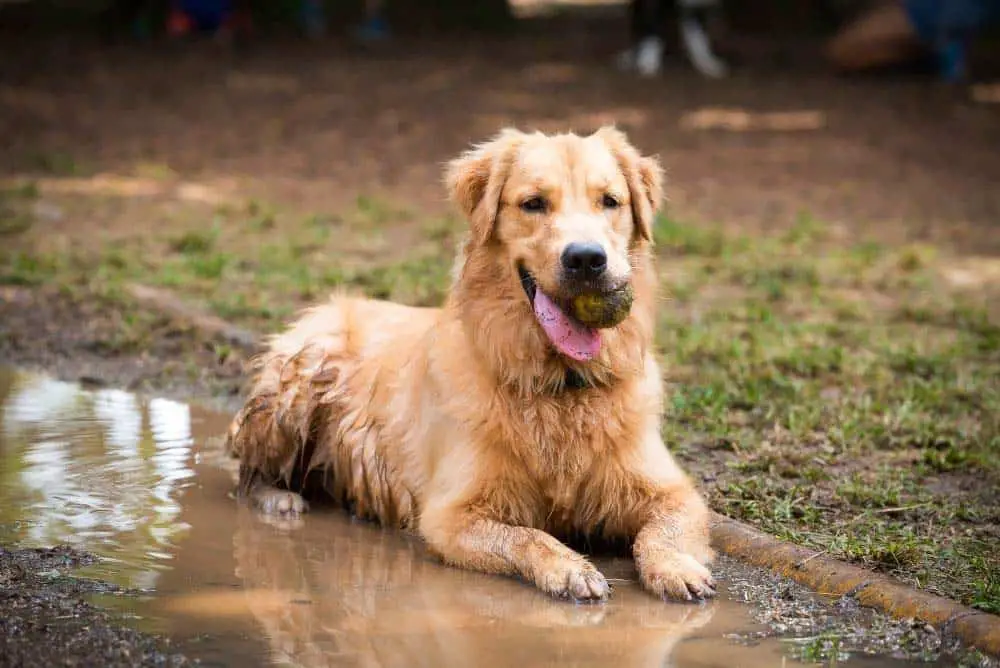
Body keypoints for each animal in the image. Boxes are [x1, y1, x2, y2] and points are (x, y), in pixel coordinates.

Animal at [224, 126, 716, 604]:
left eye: (610, 201)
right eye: (533, 203)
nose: (586, 259)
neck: (559, 383)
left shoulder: (673, 492)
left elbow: (663, 531)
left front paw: (677, 568)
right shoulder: (451, 515)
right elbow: (528, 537)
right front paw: (569, 568)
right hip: (299, 380)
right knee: (245, 471)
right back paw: (279, 500)